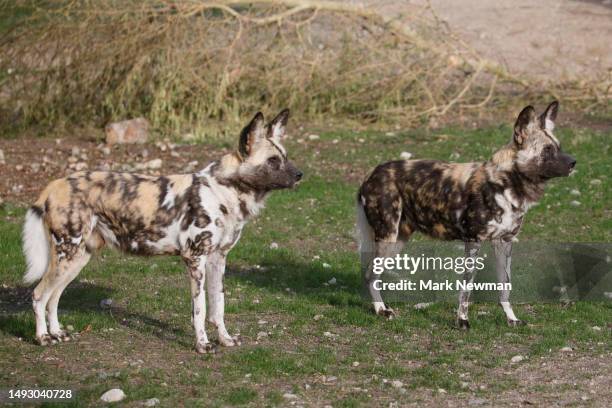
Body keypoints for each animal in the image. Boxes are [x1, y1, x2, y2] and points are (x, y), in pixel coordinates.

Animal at [22, 110, 302, 352]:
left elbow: (218, 306)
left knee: (53, 297)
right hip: (67, 255)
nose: (300, 174)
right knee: (38, 295)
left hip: (76, 259)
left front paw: (225, 339)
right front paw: (202, 345)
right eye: (273, 161)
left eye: (286, 156)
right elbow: (200, 309)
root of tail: (53, 185)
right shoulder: (195, 259)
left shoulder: (218, 259)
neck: (225, 192)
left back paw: (57, 333)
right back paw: (42, 338)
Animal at [356, 102, 576, 328]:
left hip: (398, 240)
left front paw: (511, 318)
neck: (506, 182)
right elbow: (466, 287)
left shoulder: (504, 242)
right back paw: (382, 310)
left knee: (372, 274)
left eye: (559, 147)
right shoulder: (473, 241)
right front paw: (462, 321)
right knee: (370, 274)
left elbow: (505, 286)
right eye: (547, 150)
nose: (573, 162)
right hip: (388, 237)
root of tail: (371, 175)